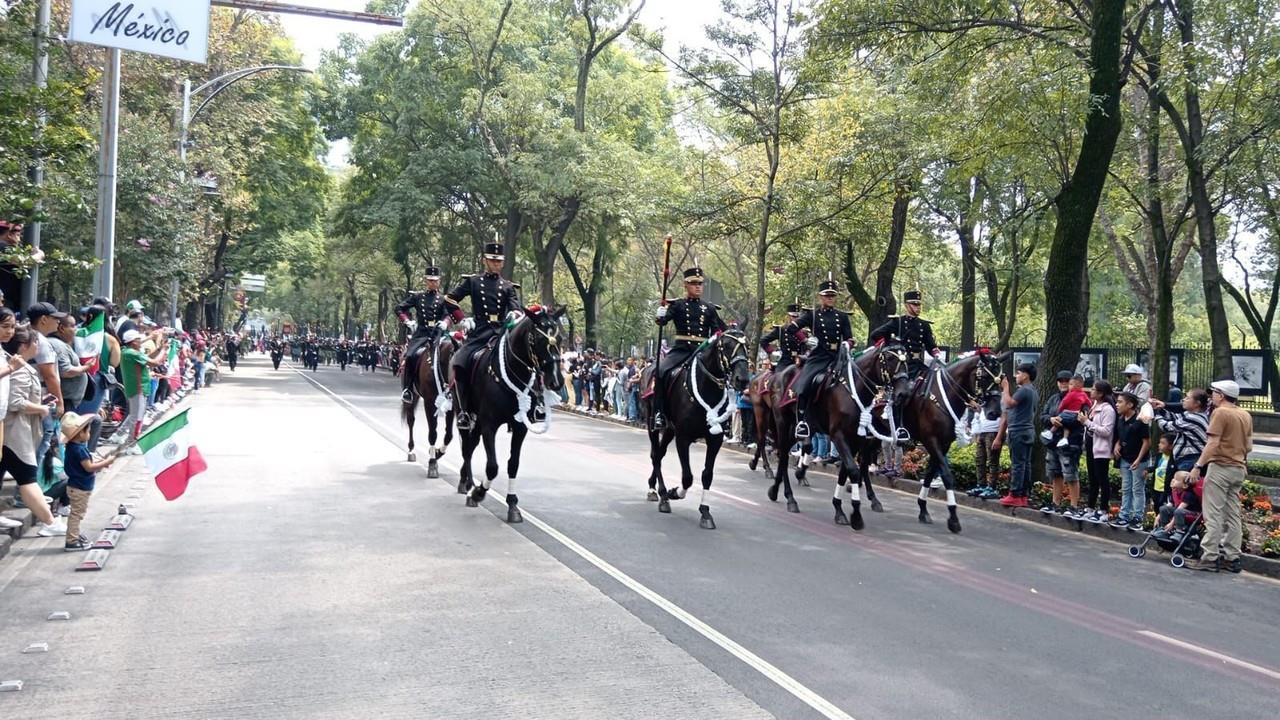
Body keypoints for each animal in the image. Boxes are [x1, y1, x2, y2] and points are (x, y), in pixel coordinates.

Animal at [455, 303, 565, 520]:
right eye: (539, 339)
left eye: (560, 339)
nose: (556, 381)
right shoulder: (489, 425)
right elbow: (492, 467)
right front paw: (479, 493)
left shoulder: (520, 426)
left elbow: (513, 464)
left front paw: (512, 504)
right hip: (464, 413)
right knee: (466, 447)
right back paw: (467, 484)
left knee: (470, 446)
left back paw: (467, 481)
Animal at [640, 330, 747, 527]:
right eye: (726, 345)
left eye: (747, 346)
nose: (742, 379)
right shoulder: (683, 437)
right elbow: (687, 477)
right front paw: (674, 493)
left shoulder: (715, 440)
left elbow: (707, 475)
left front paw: (705, 511)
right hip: (653, 423)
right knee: (655, 455)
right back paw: (662, 495)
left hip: (670, 429)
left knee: (660, 454)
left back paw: (654, 487)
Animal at [896, 351, 1003, 530]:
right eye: (984, 377)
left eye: (1001, 379)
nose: (995, 412)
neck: (944, 395)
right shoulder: (931, 440)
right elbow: (946, 475)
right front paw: (953, 516)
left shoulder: (943, 443)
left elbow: (931, 473)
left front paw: (923, 509)